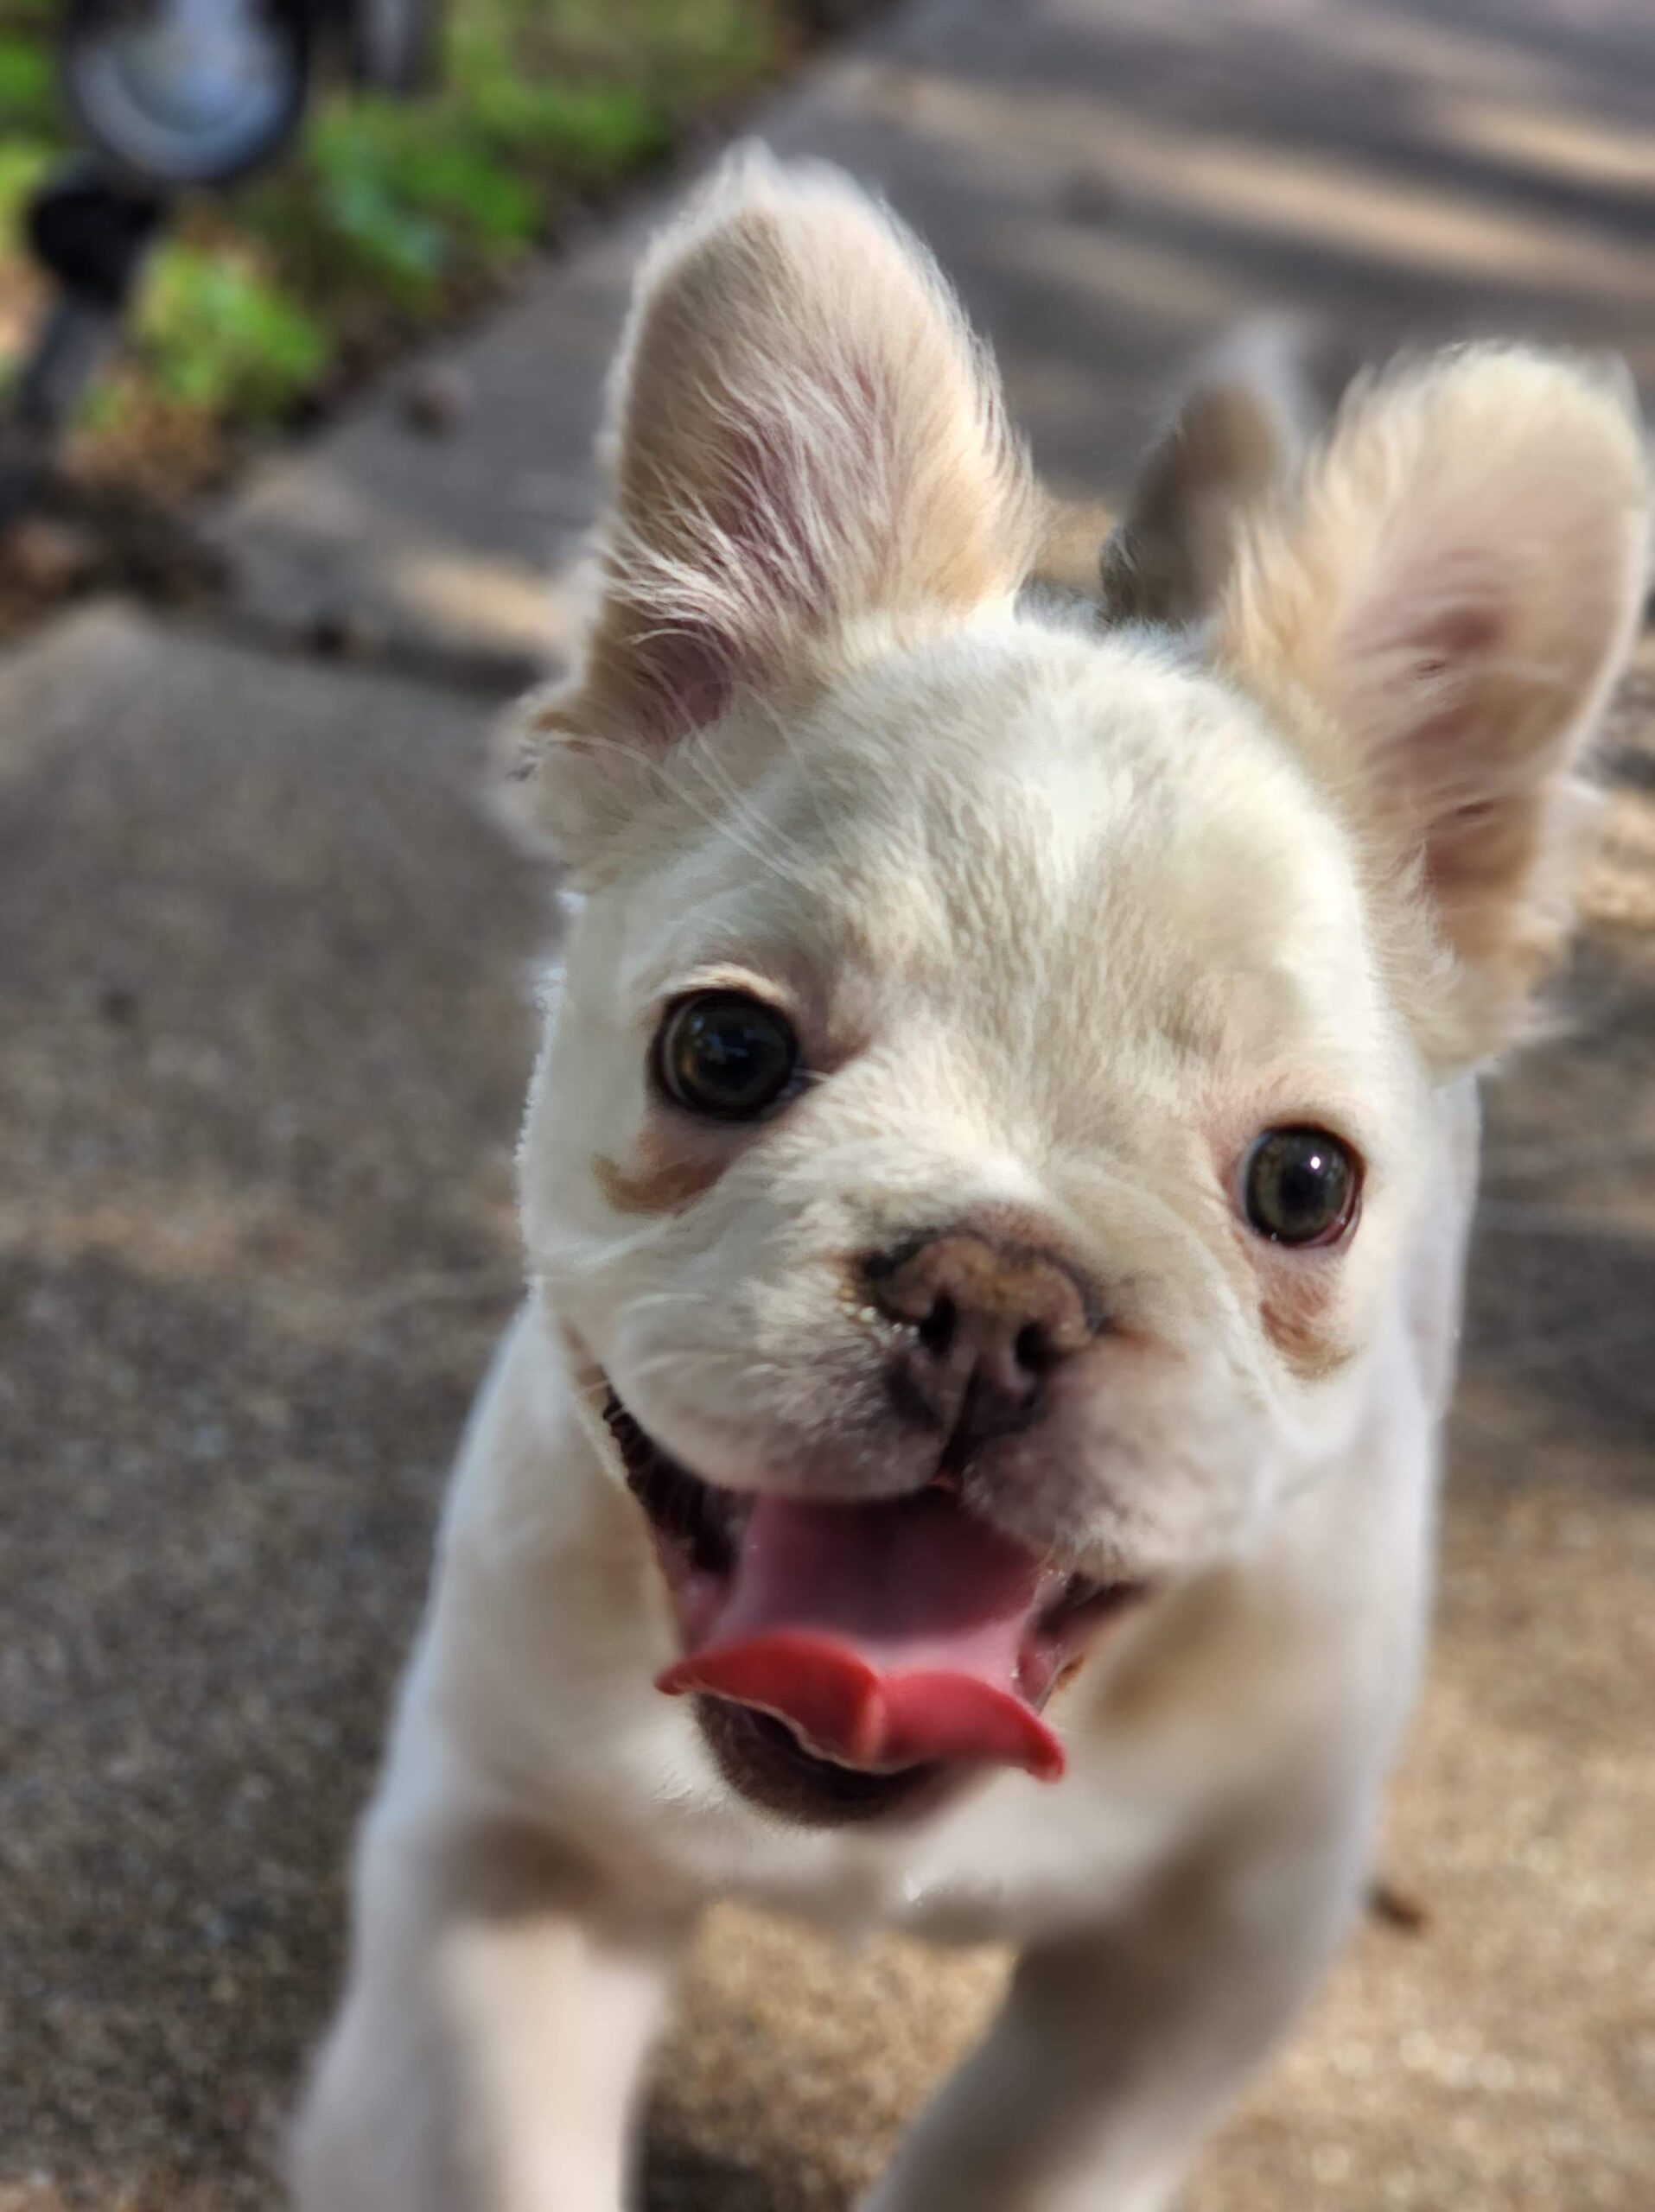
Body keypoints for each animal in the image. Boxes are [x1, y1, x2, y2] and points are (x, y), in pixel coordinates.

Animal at [290, 156, 1645, 2212]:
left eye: (1304, 1183)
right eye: (722, 1051)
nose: (994, 1286)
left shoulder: (1201, 1960)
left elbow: (1019, 2154)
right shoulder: (512, 1854)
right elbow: (490, 2137)